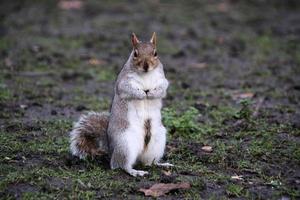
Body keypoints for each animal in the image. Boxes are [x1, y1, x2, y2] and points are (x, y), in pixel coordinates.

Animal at [69, 32, 172, 177]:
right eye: (135, 53)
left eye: (155, 53)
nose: (146, 65)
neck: (145, 75)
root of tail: (111, 148)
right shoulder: (123, 82)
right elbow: (127, 89)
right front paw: (141, 94)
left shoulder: (162, 79)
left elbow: (163, 89)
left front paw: (151, 94)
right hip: (126, 143)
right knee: (119, 165)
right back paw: (134, 171)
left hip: (157, 142)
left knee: (148, 162)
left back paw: (161, 164)